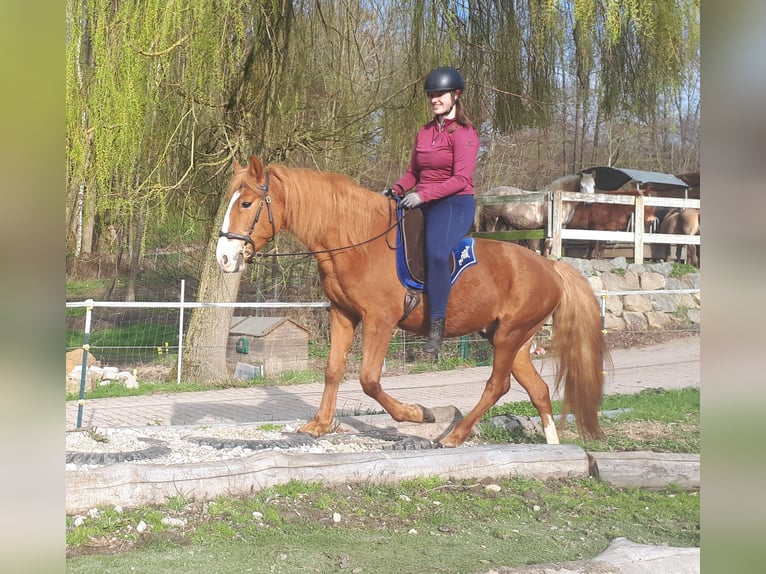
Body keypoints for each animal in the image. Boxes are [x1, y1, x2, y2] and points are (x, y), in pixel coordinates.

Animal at [218, 155, 612, 448]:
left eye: (247, 203)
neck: (357, 240)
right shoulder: (343, 314)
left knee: (497, 386)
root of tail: (550, 266)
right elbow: (333, 370)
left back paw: (454, 435)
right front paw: (320, 424)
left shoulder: (380, 319)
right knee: (538, 390)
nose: (224, 257)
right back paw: (552, 444)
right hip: (511, 339)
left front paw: (416, 413)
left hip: (509, 337)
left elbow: (368, 379)